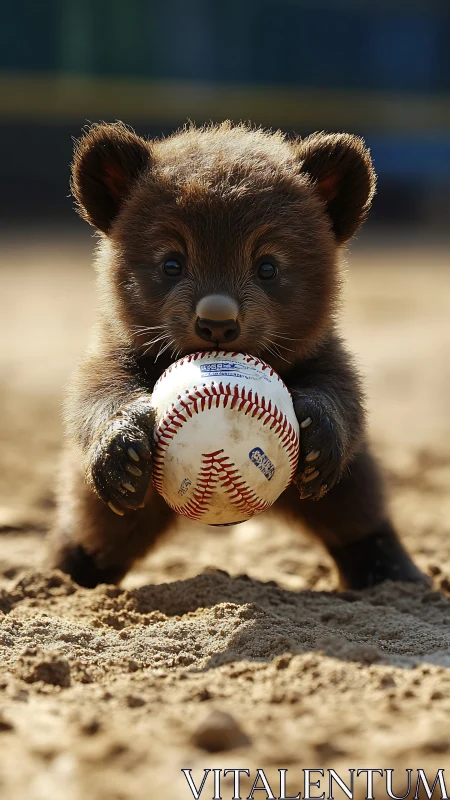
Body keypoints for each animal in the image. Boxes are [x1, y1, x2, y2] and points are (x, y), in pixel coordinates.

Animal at [48, 120, 426, 590]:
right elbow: (94, 397)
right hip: (114, 510)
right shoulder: (112, 352)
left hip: (345, 483)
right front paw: (119, 447)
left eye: (268, 267)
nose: (217, 321)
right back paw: (58, 579)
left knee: (358, 516)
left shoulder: (326, 354)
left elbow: (344, 398)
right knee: (91, 536)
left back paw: (399, 576)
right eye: (171, 263)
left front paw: (320, 429)